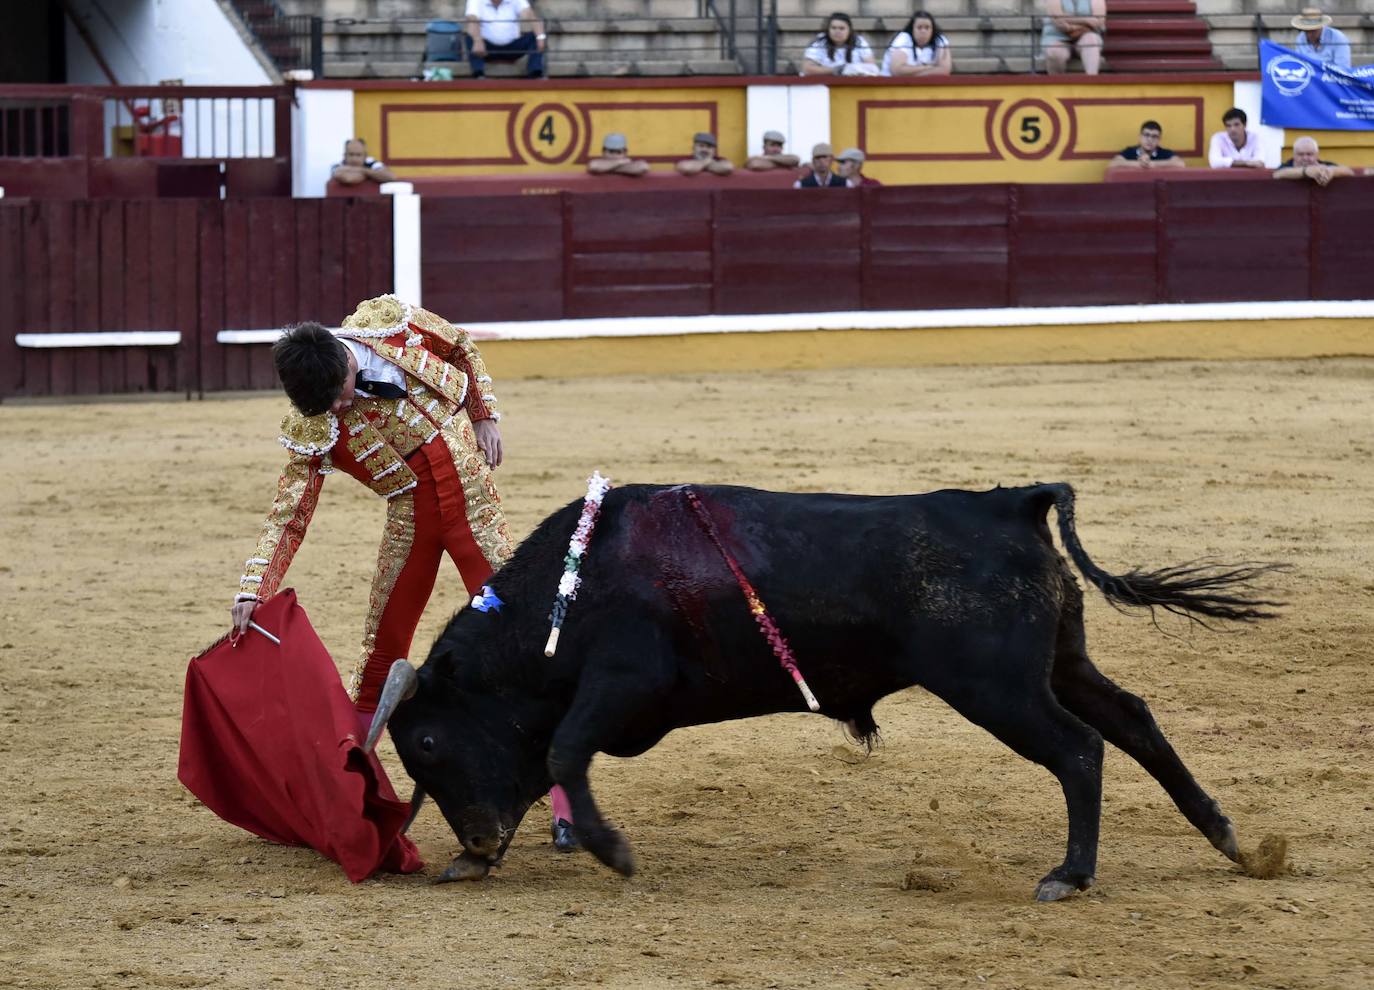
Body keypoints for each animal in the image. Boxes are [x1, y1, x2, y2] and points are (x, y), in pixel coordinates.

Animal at [362, 483, 1275, 900]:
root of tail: (1009, 504)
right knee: (1134, 720)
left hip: (997, 690)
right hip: (1060, 667)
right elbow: (550, 756)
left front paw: (613, 851)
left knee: (1081, 750)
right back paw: (1232, 839)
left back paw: (1070, 874)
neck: (568, 592)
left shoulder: (624, 681)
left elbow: (561, 750)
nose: (475, 843)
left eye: (429, 742)